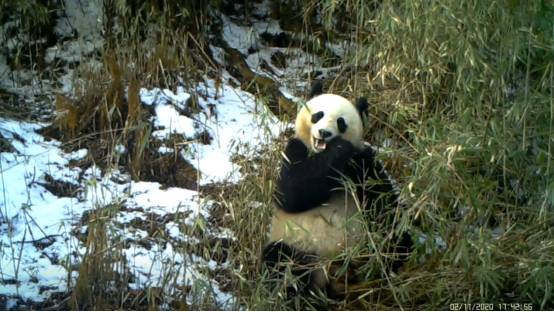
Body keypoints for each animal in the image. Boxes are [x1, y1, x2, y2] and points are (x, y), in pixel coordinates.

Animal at [260, 81, 410, 302]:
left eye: (341, 122)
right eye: (318, 115)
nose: (324, 133)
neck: (322, 155)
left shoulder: (362, 162)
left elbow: (382, 203)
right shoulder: (294, 149)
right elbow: (291, 193)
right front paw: (338, 147)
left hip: (362, 246)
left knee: (393, 240)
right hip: (302, 248)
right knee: (280, 259)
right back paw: (297, 296)